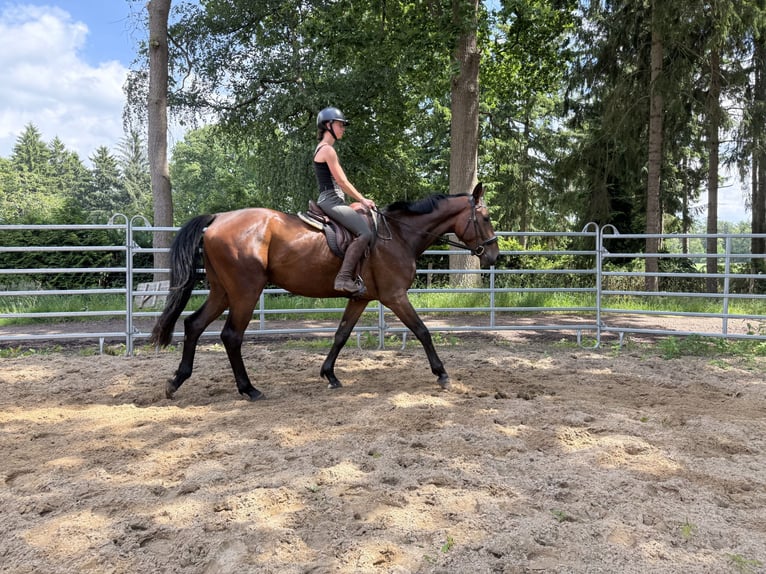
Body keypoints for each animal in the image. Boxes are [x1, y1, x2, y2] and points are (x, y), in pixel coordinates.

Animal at [150, 183, 499, 401]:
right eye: (485, 217)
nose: (494, 256)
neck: (399, 235)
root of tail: (218, 219)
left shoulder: (361, 298)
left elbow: (341, 335)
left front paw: (329, 375)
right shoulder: (395, 296)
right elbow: (422, 330)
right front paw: (442, 374)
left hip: (223, 292)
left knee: (193, 324)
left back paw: (176, 381)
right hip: (244, 293)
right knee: (231, 337)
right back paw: (249, 389)